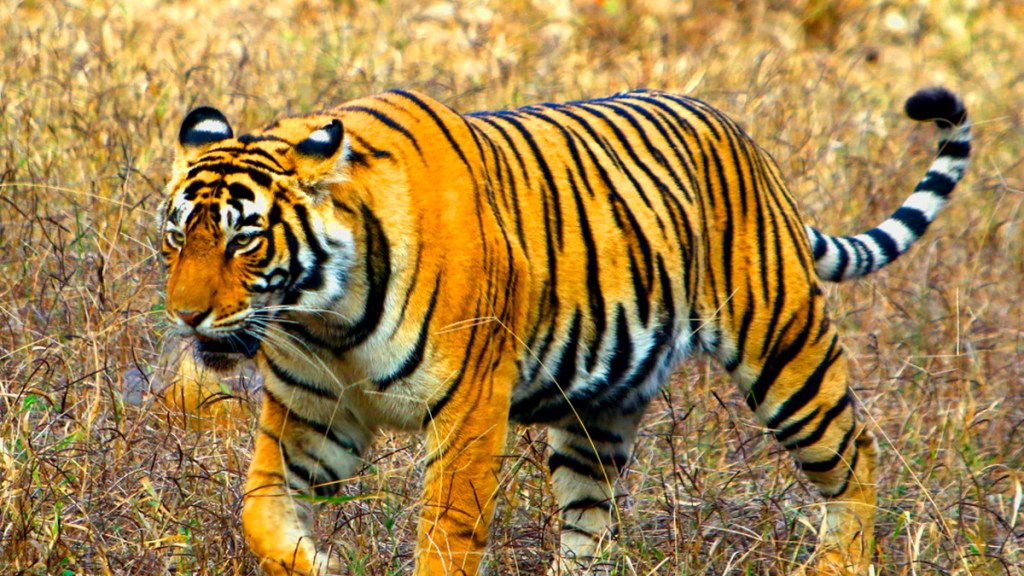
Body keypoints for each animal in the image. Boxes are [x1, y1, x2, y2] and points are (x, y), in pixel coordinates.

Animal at [158, 86, 970, 575]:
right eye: (175, 236)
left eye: (243, 239)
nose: (185, 315)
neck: (325, 316)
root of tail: (742, 137)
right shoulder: (312, 419)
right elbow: (260, 511)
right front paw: (320, 563)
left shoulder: (468, 413)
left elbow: (448, 532)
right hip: (596, 419)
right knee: (590, 520)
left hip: (785, 352)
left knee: (855, 456)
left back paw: (838, 560)